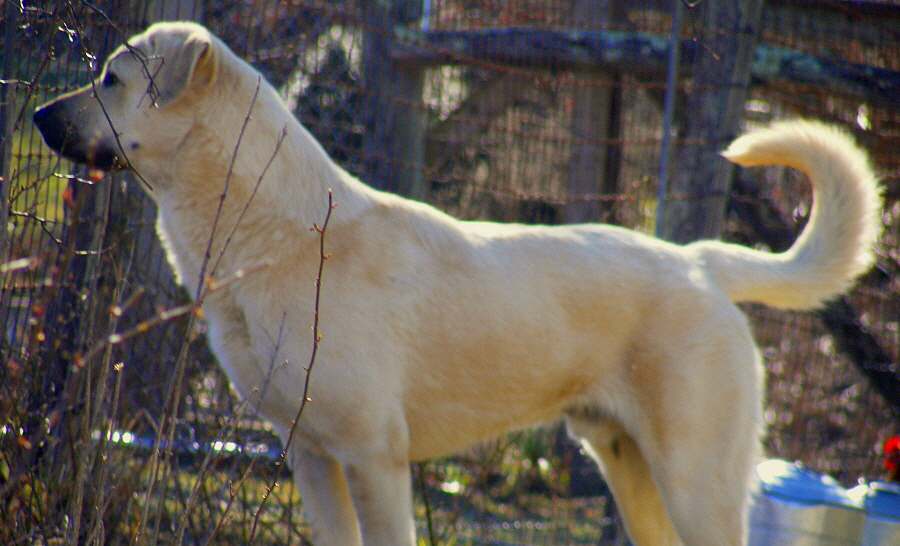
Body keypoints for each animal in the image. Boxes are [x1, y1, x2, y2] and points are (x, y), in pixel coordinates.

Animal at [35, 21, 880, 544]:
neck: (276, 233)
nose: (38, 115)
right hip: (633, 473)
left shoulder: (375, 457)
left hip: (695, 481)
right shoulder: (311, 456)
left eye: (111, 79)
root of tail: (700, 260)